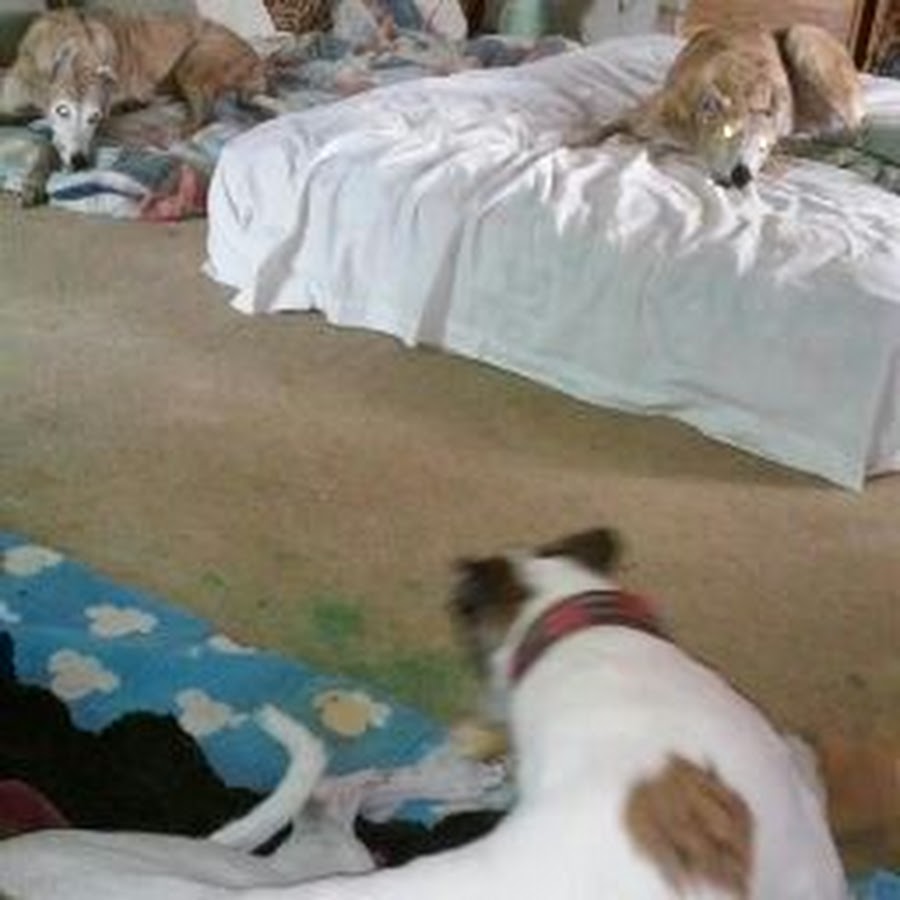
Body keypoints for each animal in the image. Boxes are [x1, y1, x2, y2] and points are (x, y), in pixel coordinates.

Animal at [0, 8, 275, 204]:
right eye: (62, 111)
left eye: (94, 117)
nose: (81, 163)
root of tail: (258, 66)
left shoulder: (104, 120)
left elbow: (47, 143)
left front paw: (34, 180)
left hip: (195, 60)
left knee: (203, 115)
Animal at [574, 24, 863, 188]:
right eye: (728, 133)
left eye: (762, 148)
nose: (742, 175)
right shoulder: (647, 113)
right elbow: (604, 127)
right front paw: (577, 142)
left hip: (807, 47)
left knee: (850, 129)